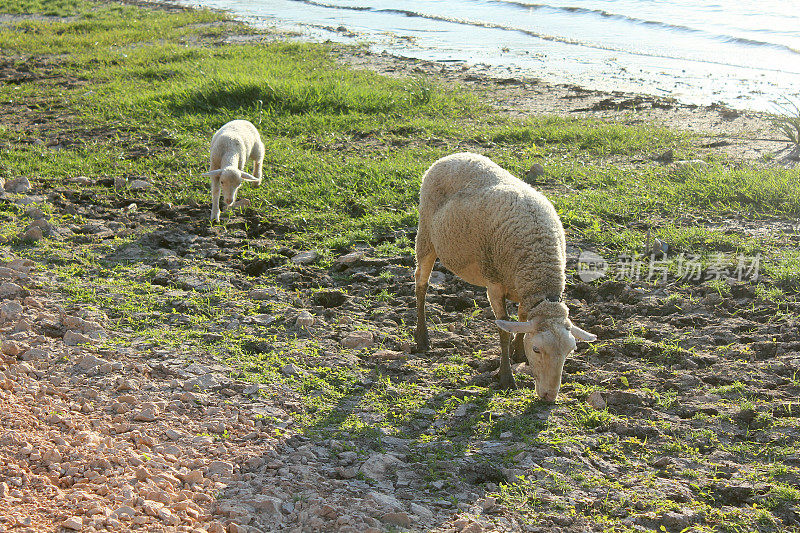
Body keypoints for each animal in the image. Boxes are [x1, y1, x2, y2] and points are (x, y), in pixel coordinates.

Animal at [416, 151, 596, 400]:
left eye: (571, 350)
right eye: (537, 349)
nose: (549, 398)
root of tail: (456, 155)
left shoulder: (523, 288)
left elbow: (521, 319)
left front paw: (518, 353)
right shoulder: (494, 285)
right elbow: (504, 330)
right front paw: (506, 377)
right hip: (425, 235)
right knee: (420, 283)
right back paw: (422, 338)